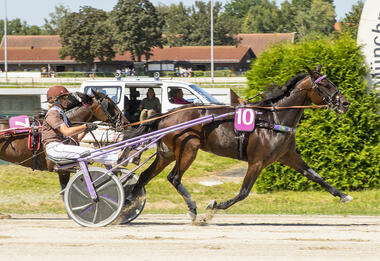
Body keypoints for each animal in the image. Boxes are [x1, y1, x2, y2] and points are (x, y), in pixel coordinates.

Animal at [130, 65, 354, 219]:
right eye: (324, 85)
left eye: (331, 82)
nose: (345, 103)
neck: (274, 119)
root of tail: (166, 115)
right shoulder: (257, 162)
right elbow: (244, 192)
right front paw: (214, 207)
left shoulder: (288, 156)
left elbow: (315, 176)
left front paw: (343, 195)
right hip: (188, 149)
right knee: (174, 178)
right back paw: (192, 209)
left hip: (167, 152)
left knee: (145, 176)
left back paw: (130, 203)